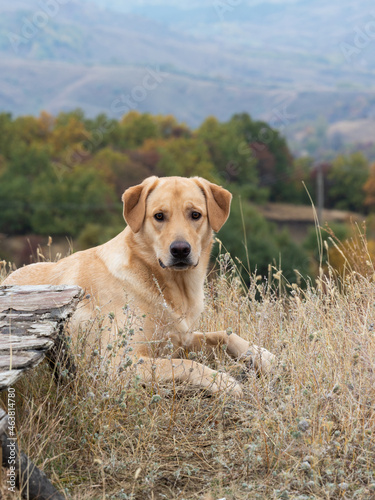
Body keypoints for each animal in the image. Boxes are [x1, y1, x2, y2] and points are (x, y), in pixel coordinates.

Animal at [2, 178, 276, 396]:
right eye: (159, 216)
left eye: (195, 215)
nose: (180, 250)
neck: (169, 286)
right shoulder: (119, 363)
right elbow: (187, 365)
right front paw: (224, 382)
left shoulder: (182, 338)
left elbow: (224, 335)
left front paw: (264, 356)